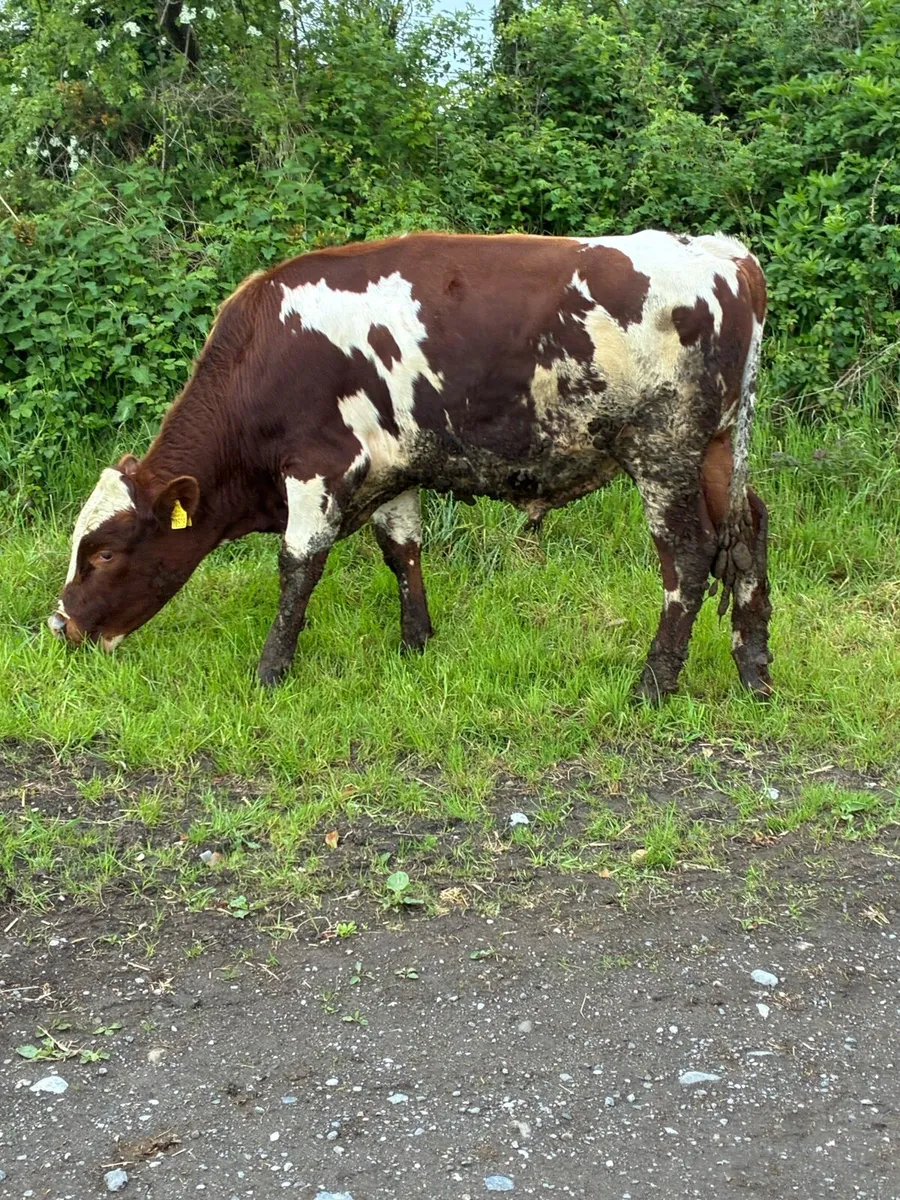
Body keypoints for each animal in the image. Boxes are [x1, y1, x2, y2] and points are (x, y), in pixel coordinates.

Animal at [48, 230, 772, 702]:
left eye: (104, 553)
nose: (61, 623)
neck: (265, 354)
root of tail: (722, 254)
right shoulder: (392, 468)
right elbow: (403, 553)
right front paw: (415, 644)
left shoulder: (317, 467)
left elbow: (297, 569)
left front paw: (270, 672)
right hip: (720, 446)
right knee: (748, 534)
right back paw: (754, 669)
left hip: (662, 449)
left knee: (688, 557)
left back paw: (654, 683)